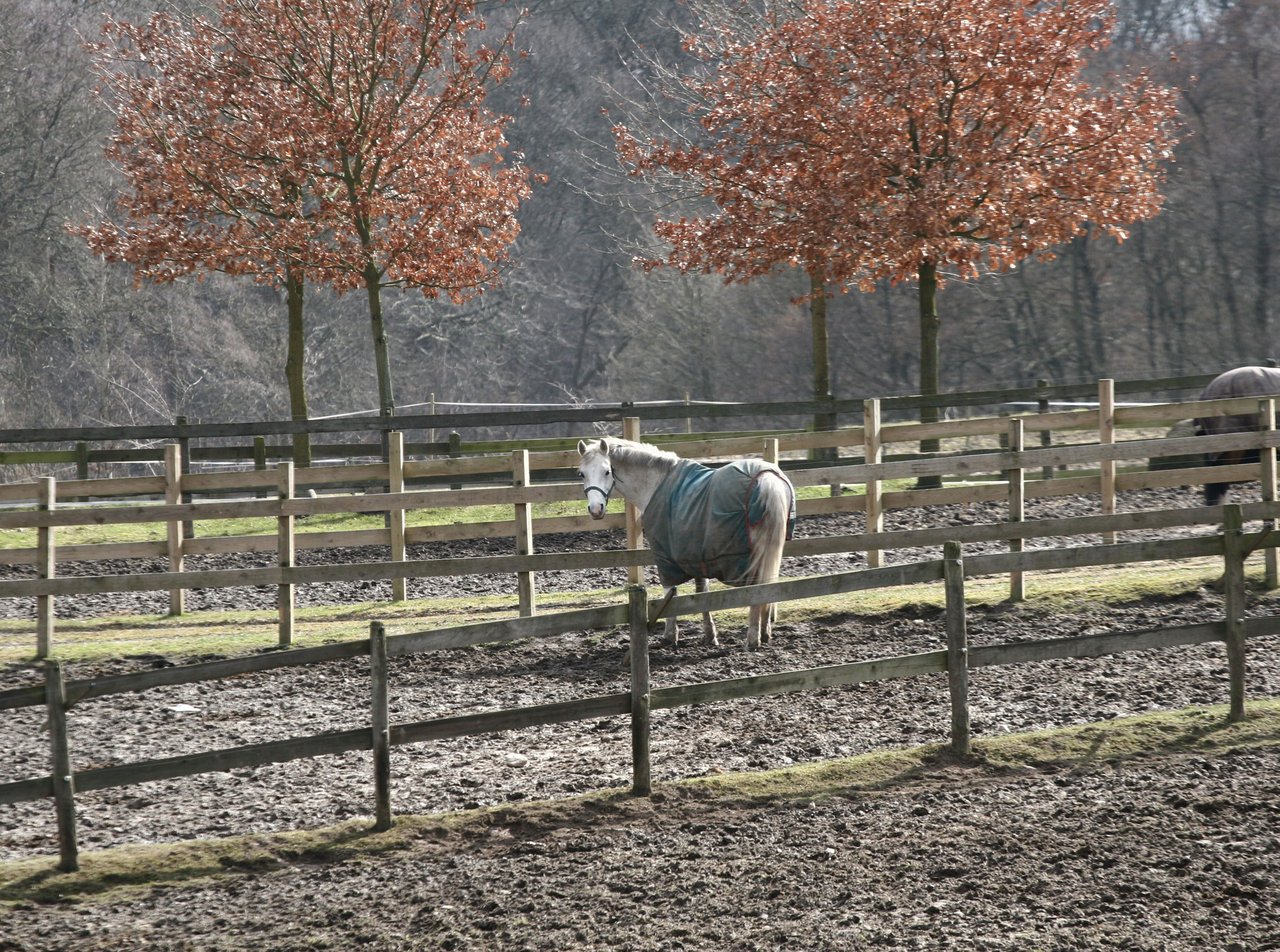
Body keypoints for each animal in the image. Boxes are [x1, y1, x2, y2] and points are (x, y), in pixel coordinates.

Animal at [576, 437, 796, 650]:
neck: (656, 483)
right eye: (582, 474)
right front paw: (710, 636)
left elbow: (669, 592)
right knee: (768, 586)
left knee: (756, 590)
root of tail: (767, 479)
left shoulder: (665, 559)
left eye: (607, 471)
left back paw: (752, 639)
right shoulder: (698, 556)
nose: (596, 509)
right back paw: (765, 634)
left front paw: (669, 636)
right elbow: (702, 594)